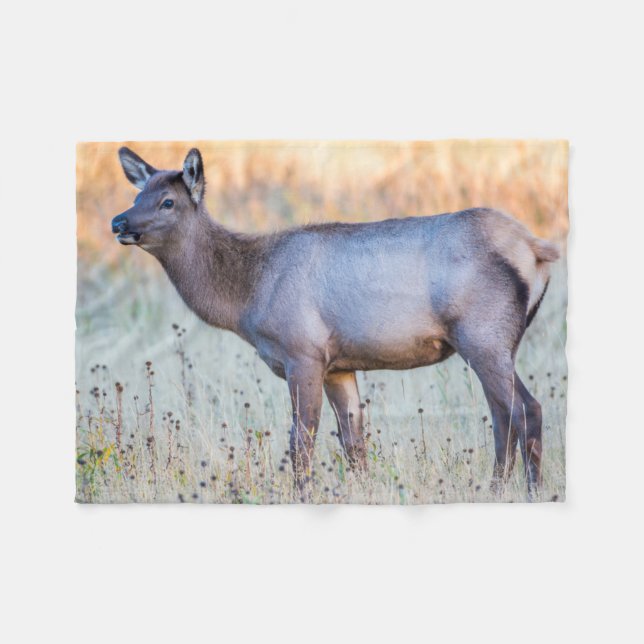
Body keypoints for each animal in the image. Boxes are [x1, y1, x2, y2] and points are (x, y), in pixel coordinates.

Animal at [111, 147, 560, 499]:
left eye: (168, 201)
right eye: (138, 194)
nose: (119, 222)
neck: (248, 296)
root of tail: (536, 248)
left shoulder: (303, 352)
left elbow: (301, 441)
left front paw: (302, 495)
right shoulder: (339, 366)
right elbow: (353, 441)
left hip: (483, 334)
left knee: (526, 410)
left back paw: (531, 492)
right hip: (494, 342)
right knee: (502, 414)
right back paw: (496, 489)